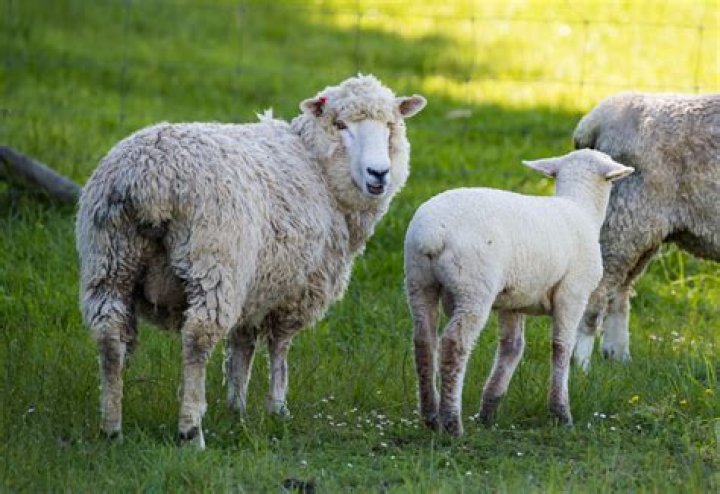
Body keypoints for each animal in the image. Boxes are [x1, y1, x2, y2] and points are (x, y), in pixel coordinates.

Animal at [76, 74, 426, 448]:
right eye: (341, 125)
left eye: (390, 126)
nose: (379, 174)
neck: (315, 166)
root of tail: (150, 177)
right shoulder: (295, 292)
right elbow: (279, 349)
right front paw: (277, 407)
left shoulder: (255, 286)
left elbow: (242, 346)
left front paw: (237, 408)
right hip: (215, 262)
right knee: (197, 338)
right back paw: (191, 430)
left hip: (110, 259)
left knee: (110, 335)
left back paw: (111, 426)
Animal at [404, 149, 634, 435]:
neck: (581, 208)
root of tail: (431, 234)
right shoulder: (573, 292)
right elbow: (562, 347)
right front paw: (561, 413)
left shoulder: (513, 301)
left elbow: (512, 348)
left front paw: (489, 410)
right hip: (473, 286)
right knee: (453, 344)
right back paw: (452, 422)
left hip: (418, 281)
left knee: (424, 341)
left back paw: (430, 417)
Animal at [572, 92, 720, 370]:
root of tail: (595, 121)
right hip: (626, 218)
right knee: (597, 293)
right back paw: (580, 363)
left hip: (638, 229)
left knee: (619, 293)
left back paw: (617, 356)